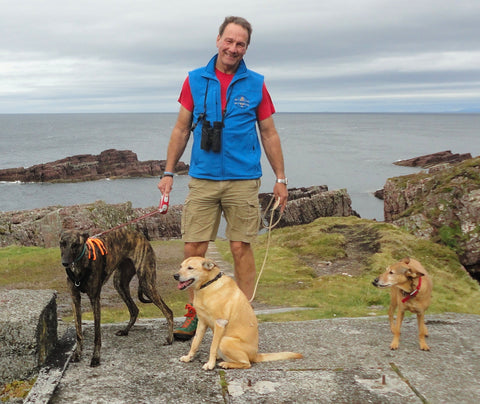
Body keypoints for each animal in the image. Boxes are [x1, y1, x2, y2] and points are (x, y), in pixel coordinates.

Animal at [172, 258, 302, 370]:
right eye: (181, 266)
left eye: (190, 268)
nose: (175, 276)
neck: (208, 285)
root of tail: (256, 355)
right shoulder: (202, 323)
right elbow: (195, 343)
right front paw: (189, 357)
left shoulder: (219, 323)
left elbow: (212, 347)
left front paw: (210, 364)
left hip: (225, 340)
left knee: (246, 363)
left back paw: (226, 364)